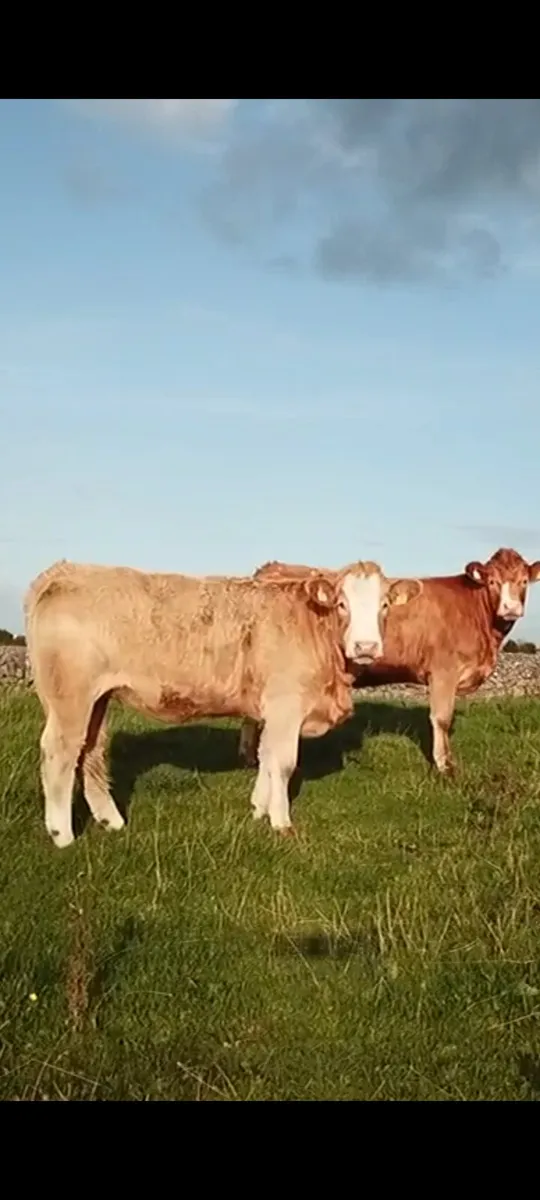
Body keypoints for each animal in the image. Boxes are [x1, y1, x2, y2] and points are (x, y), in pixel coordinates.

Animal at [23, 558, 421, 849]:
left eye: (385, 605)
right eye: (342, 603)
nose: (366, 647)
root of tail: (65, 570)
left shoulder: (270, 712)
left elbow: (266, 758)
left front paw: (259, 810)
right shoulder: (286, 706)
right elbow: (283, 764)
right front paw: (281, 823)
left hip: (97, 700)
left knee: (90, 750)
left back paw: (112, 821)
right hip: (69, 699)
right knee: (59, 753)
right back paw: (63, 836)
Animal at [239, 548, 540, 777]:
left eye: (524, 582)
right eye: (493, 582)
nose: (511, 608)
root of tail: (270, 568)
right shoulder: (444, 672)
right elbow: (441, 719)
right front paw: (445, 766)